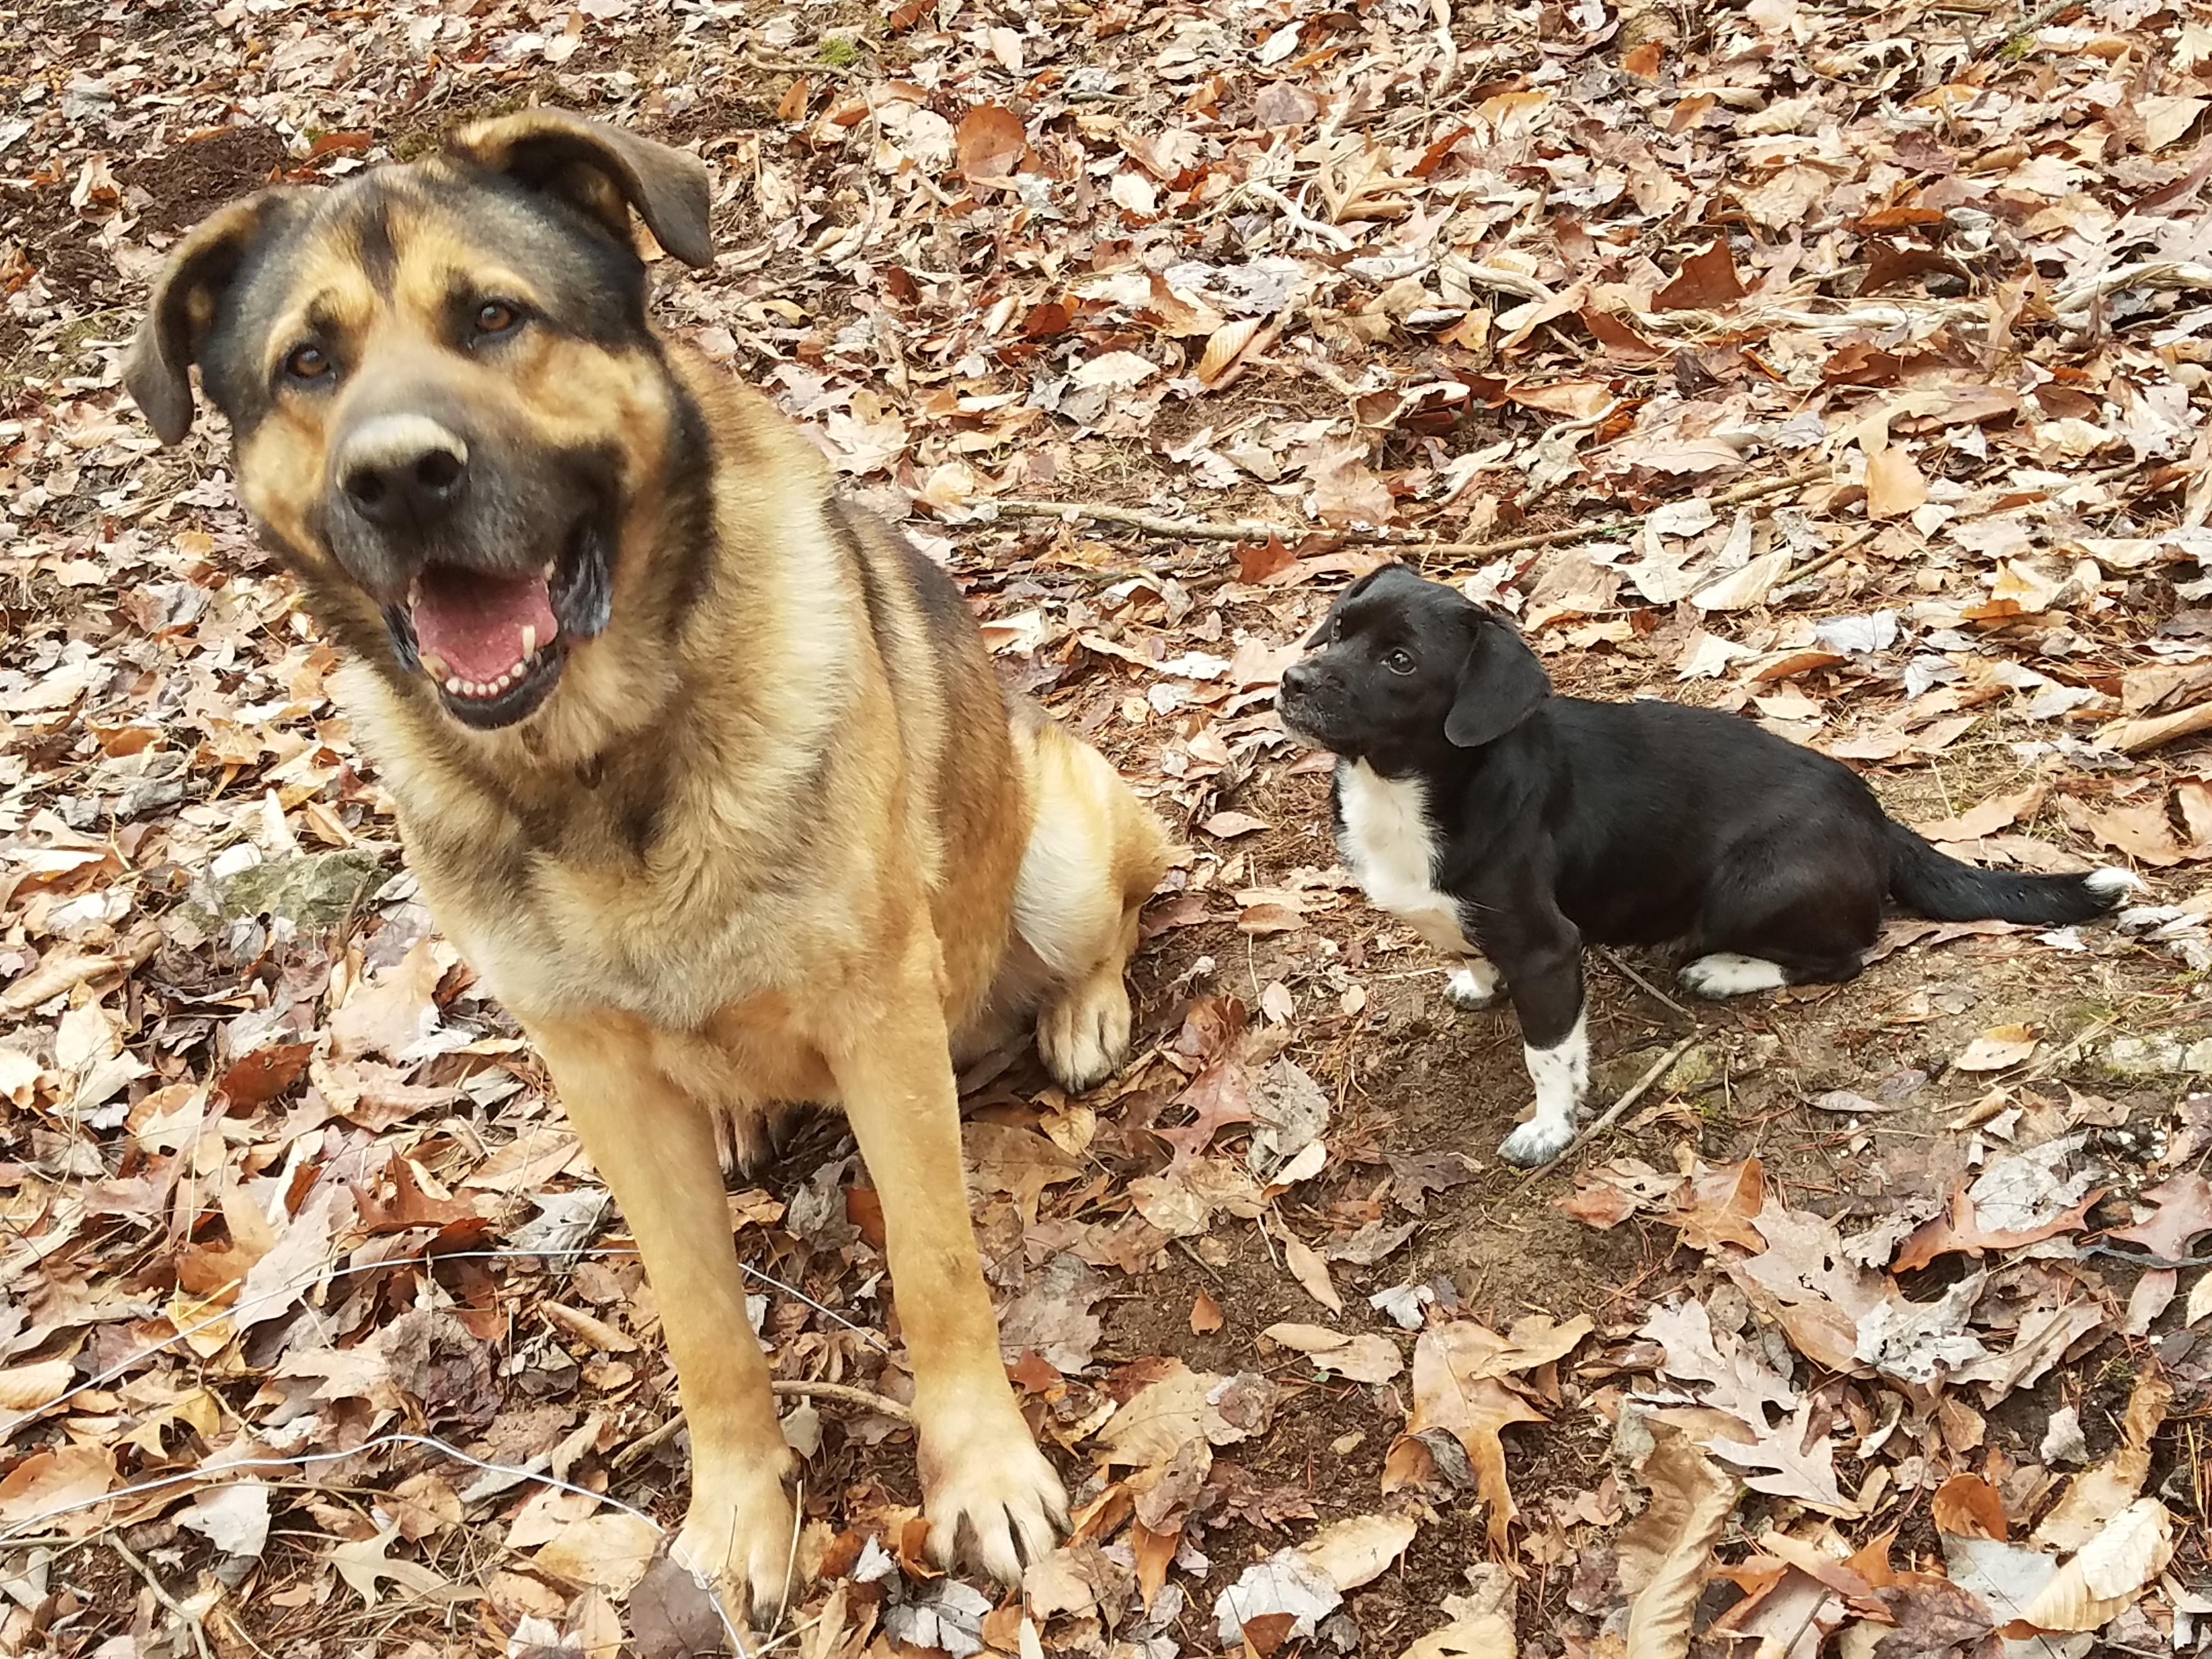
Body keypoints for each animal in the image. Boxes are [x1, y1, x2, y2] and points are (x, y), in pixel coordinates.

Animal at [131, 110, 1177, 1619]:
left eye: (494, 318)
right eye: (308, 367)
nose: (399, 476)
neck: (597, 763)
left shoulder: (880, 1024)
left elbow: (933, 1267)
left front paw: (980, 1474)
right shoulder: (602, 1079)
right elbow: (701, 1322)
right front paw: (739, 1514)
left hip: (1061, 843)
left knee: (1112, 921)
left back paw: (1083, 1011)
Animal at [1283, 566, 2141, 1159]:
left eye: (1400, 661)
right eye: (1337, 626)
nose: (1290, 681)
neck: (1404, 787)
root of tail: (1874, 815)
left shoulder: (1549, 950)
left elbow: (1549, 1056)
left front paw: (1549, 1130)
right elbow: (1471, 953)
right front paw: (1474, 980)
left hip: (1751, 886)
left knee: (1846, 955)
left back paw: (1725, 971)